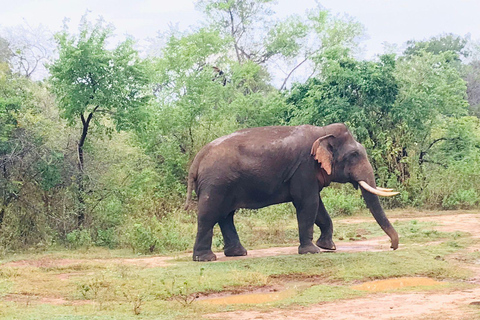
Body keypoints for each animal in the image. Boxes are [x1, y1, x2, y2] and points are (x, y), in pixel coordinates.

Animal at [186, 124, 400, 262]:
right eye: (353, 155)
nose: (392, 246)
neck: (322, 132)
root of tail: (197, 159)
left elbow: (318, 206)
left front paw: (328, 247)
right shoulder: (304, 168)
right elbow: (308, 204)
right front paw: (312, 251)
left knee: (225, 215)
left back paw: (238, 253)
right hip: (216, 183)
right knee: (210, 214)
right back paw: (205, 258)